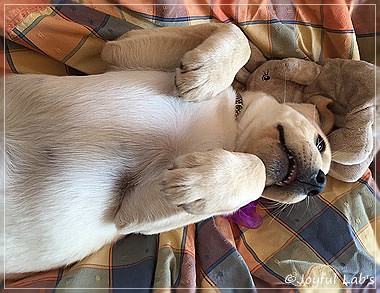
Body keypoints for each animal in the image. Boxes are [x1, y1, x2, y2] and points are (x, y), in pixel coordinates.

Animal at [2, 23, 330, 274]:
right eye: (321, 143)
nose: (319, 184)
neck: (230, 129)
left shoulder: (132, 211)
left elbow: (258, 172)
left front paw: (201, 184)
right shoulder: (119, 52)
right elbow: (237, 33)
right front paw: (204, 75)